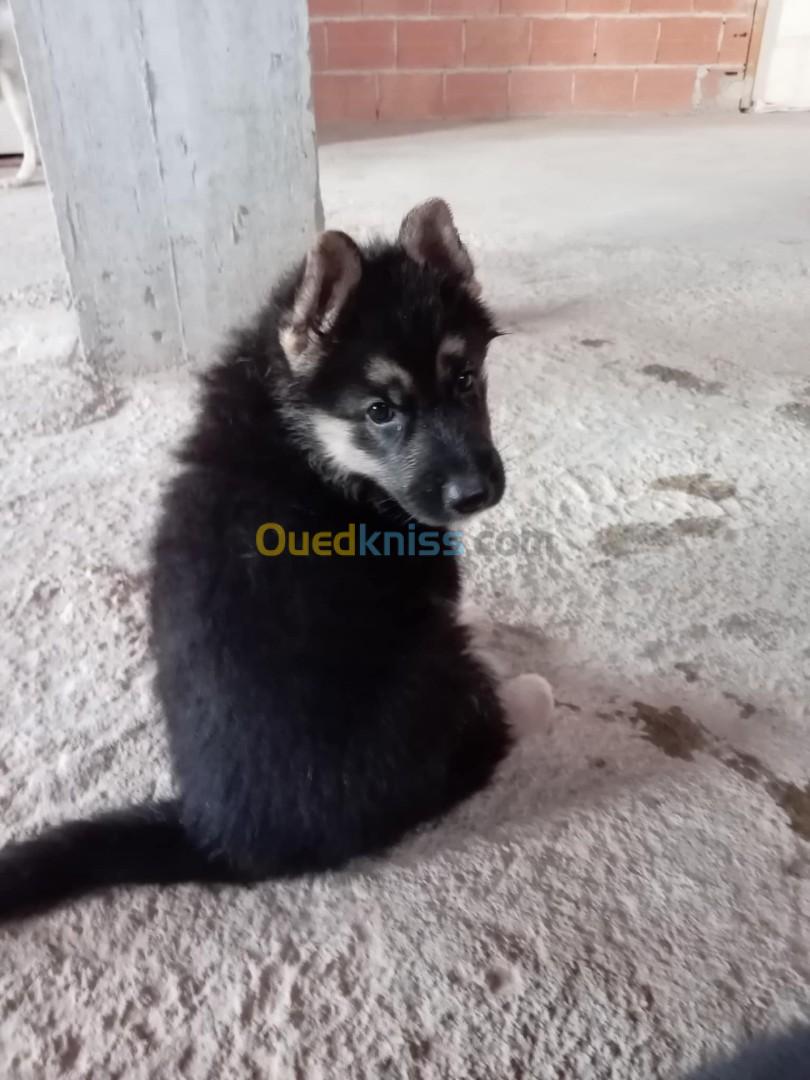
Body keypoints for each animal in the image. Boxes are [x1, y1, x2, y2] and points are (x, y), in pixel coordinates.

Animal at [0, 200, 552, 920]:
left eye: (464, 379)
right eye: (380, 410)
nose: (476, 494)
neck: (304, 437)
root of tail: (225, 842)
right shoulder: (431, 583)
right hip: (434, 667)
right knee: (473, 745)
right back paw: (524, 698)